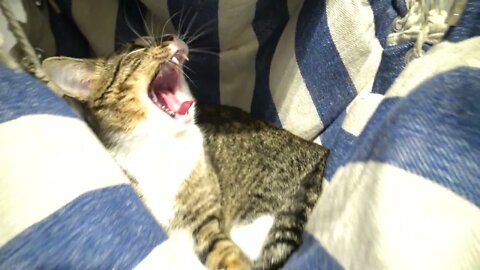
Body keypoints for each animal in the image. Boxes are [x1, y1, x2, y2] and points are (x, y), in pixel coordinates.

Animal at [43, 34, 328, 268]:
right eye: (137, 48)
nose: (171, 36)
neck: (161, 147)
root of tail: (320, 151)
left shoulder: (205, 220)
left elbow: (225, 254)